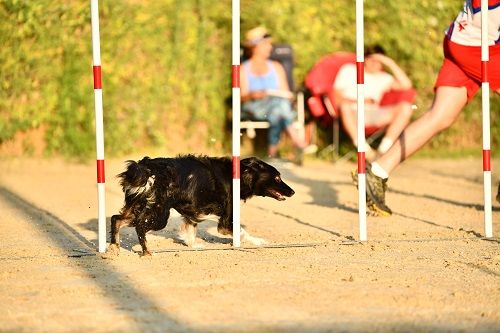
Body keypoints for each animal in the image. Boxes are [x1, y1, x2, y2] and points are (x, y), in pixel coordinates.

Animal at [109, 155, 294, 254]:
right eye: (277, 178)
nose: (292, 192)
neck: (237, 175)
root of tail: (145, 167)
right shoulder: (226, 221)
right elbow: (242, 232)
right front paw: (258, 241)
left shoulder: (192, 214)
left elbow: (191, 231)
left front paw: (193, 245)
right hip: (159, 214)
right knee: (139, 227)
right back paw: (146, 253)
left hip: (137, 206)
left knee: (116, 219)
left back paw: (114, 247)